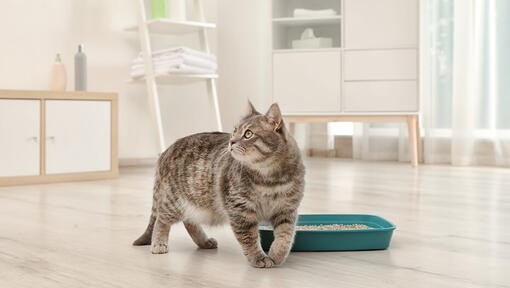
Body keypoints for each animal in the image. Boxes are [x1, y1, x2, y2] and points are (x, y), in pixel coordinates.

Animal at [133, 102, 304, 268]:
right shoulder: (240, 211)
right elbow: (249, 238)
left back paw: (204, 242)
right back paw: (159, 243)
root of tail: (165, 152)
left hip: (197, 205)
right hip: (174, 202)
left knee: (189, 222)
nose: (231, 141)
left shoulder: (286, 210)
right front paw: (258, 257)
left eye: (248, 134)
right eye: (235, 130)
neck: (270, 178)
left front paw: (277, 255)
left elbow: (285, 236)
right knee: (161, 219)